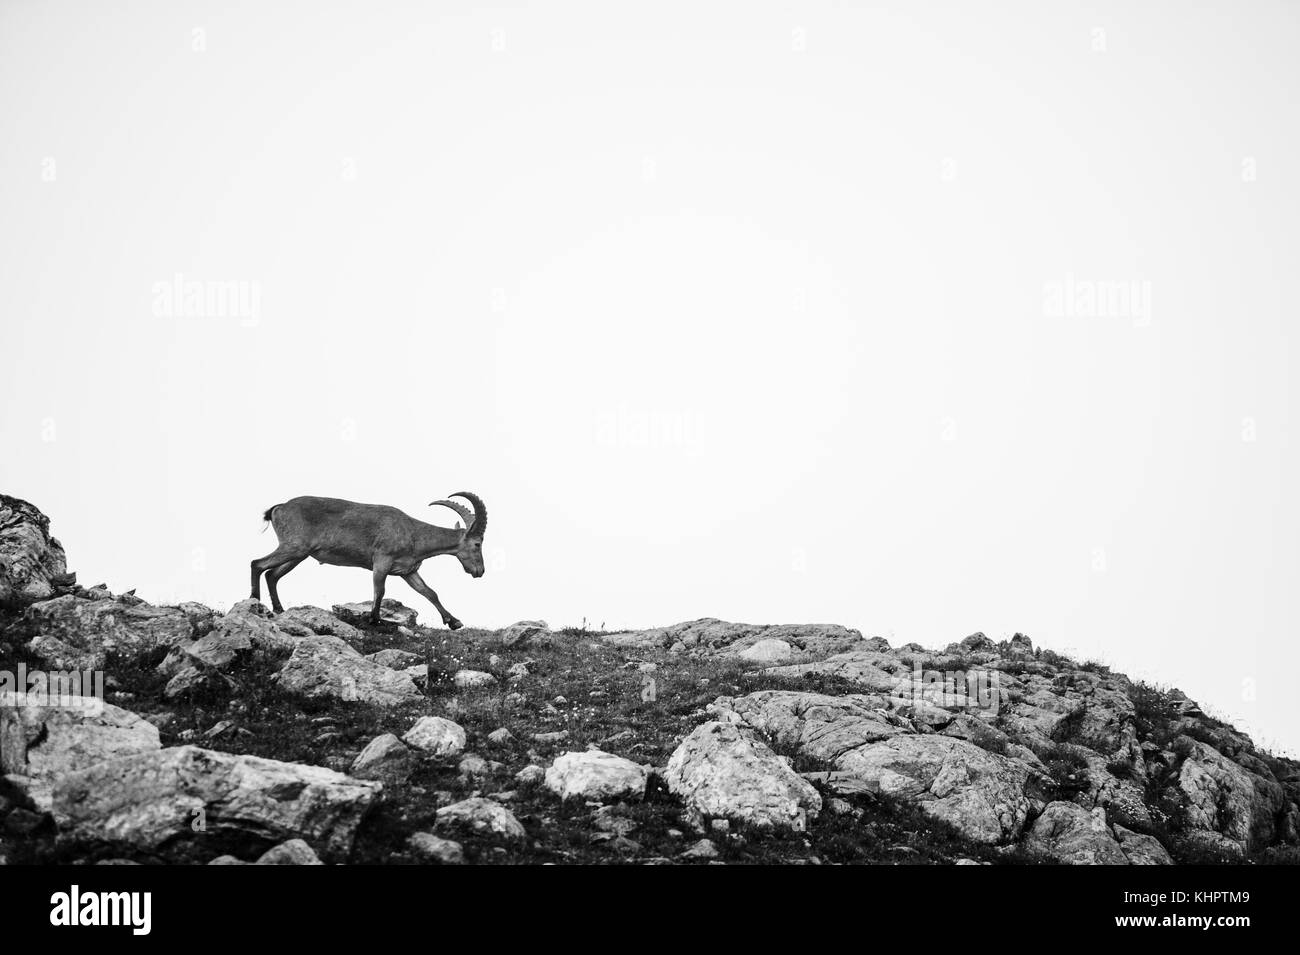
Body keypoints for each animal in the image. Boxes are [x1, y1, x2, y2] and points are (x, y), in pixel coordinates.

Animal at [250, 492, 487, 628]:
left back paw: (279, 609)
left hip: (298, 554)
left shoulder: (408, 571)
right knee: (257, 564)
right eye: (478, 543)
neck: (413, 533)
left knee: (271, 574)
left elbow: (429, 592)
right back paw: (255, 600)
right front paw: (374, 619)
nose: (480, 571)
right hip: (294, 547)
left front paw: (454, 621)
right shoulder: (381, 561)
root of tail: (278, 508)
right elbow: (379, 590)